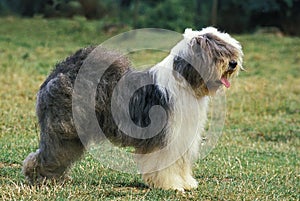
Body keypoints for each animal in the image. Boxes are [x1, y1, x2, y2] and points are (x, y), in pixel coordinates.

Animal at [24, 27, 244, 192]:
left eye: (230, 49)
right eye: (216, 52)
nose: (233, 63)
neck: (185, 81)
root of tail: (61, 70)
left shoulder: (183, 137)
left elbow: (181, 164)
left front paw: (187, 183)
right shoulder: (167, 137)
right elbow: (166, 164)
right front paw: (172, 185)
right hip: (64, 130)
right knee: (49, 153)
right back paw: (40, 178)